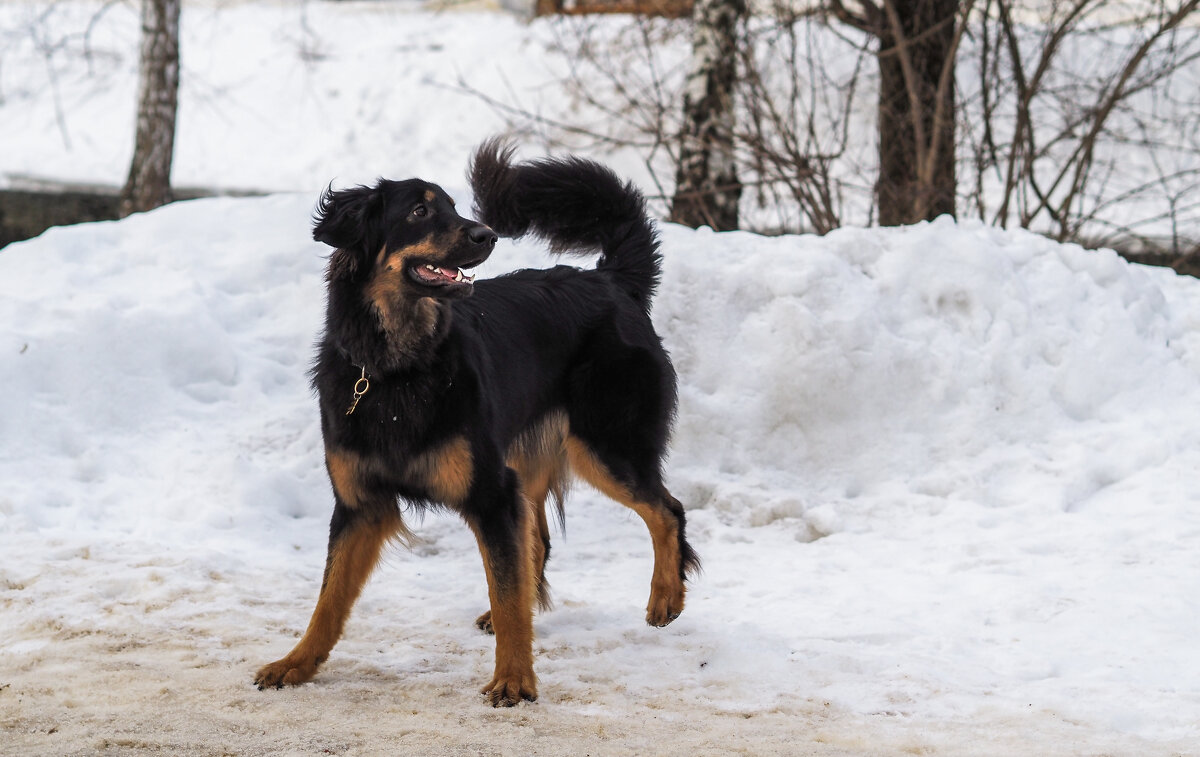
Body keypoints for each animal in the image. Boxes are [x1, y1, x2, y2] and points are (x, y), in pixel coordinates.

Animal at [255, 139, 700, 710]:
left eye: (453, 205)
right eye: (420, 212)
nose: (486, 234)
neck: (398, 369)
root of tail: (609, 280)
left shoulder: (491, 494)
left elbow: (506, 589)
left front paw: (514, 680)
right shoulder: (361, 506)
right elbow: (328, 600)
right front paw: (297, 663)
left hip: (604, 447)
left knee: (667, 510)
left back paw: (666, 598)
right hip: (538, 459)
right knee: (542, 540)